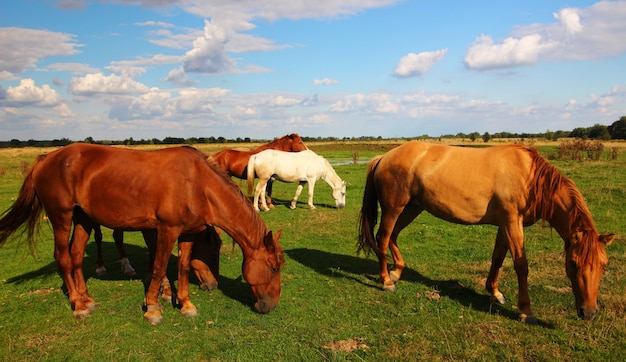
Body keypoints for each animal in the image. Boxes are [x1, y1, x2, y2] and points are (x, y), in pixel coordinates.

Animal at [0, 143, 282, 324]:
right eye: (274, 267)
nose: (271, 305)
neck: (196, 184)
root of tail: (46, 158)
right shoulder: (166, 230)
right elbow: (158, 267)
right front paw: (153, 308)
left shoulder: (186, 234)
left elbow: (182, 267)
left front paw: (186, 304)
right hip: (61, 216)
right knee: (64, 258)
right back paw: (78, 306)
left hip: (83, 219)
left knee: (77, 255)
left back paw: (86, 298)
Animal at [358, 141, 612, 322]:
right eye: (573, 263)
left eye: (604, 265)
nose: (589, 312)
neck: (529, 177)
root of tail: (384, 157)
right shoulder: (512, 221)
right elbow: (521, 265)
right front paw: (526, 311)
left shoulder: (506, 224)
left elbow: (498, 258)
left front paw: (495, 292)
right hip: (394, 208)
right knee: (382, 238)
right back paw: (386, 281)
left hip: (412, 207)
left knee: (393, 236)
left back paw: (396, 271)